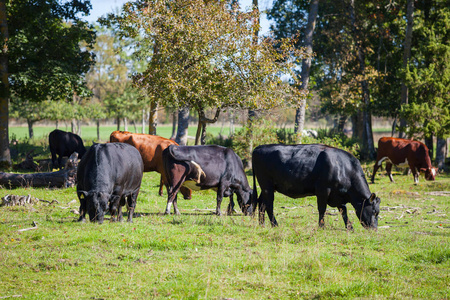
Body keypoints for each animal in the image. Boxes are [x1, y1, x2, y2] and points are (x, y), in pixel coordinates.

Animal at [251, 144, 382, 229]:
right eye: (374, 212)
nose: (374, 229)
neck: (343, 168)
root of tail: (258, 148)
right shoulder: (323, 190)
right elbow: (322, 209)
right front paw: (321, 226)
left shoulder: (338, 195)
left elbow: (343, 210)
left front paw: (349, 227)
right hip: (266, 185)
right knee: (269, 204)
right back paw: (275, 225)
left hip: (267, 187)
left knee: (261, 202)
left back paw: (262, 224)